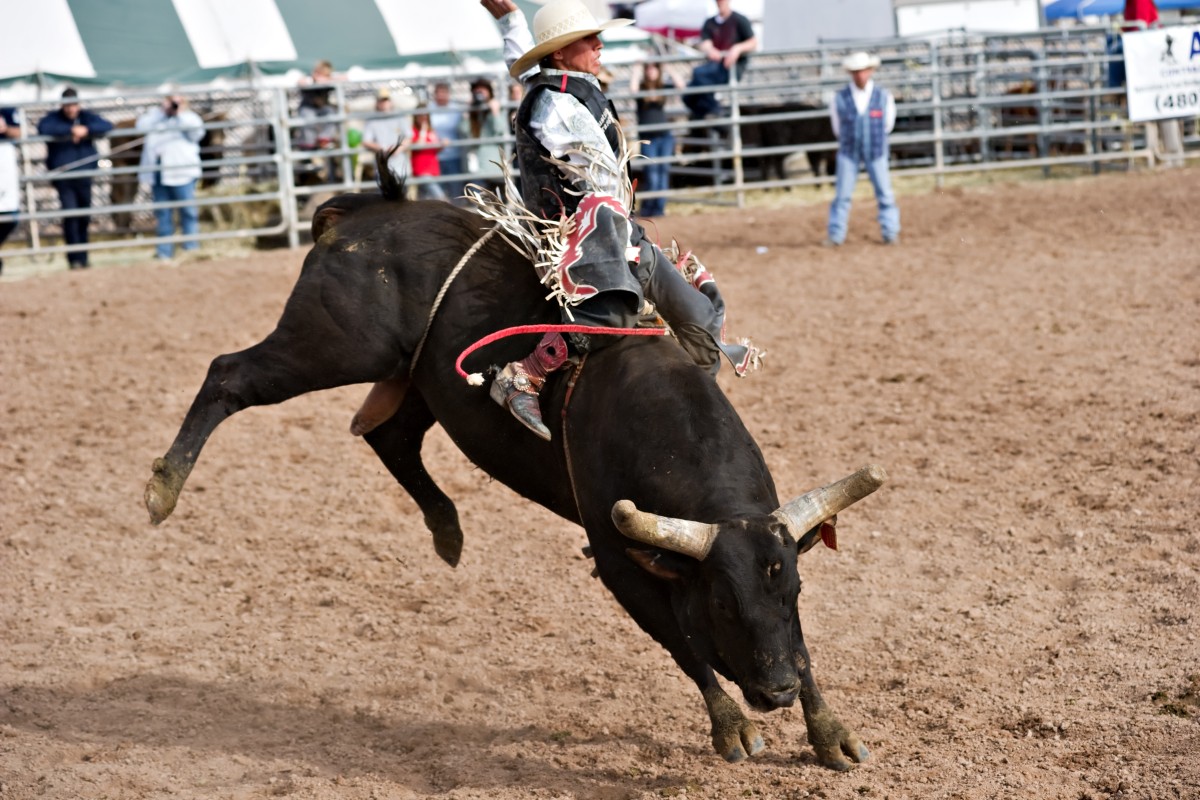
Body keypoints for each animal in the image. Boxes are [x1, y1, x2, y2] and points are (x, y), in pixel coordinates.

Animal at [144, 157, 886, 769]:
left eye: (792, 592)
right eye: (724, 604)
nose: (777, 690)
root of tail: (363, 214)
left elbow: (801, 647)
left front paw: (830, 733)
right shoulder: (619, 561)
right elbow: (681, 641)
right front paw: (731, 726)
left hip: (416, 380)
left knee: (389, 438)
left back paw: (446, 529)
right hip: (331, 343)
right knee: (229, 376)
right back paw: (163, 488)